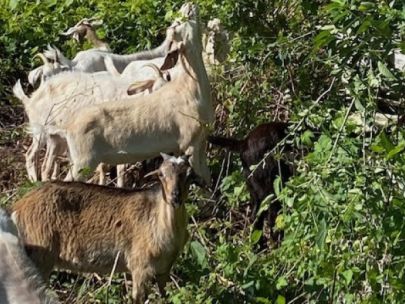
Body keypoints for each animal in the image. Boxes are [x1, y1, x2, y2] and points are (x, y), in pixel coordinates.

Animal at [13, 154, 193, 302]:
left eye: (187, 175)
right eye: (161, 174)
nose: (175, 196)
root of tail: (18, 208)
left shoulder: (164, 269)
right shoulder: (140, 266)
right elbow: (138, 297)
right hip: (40, 256)